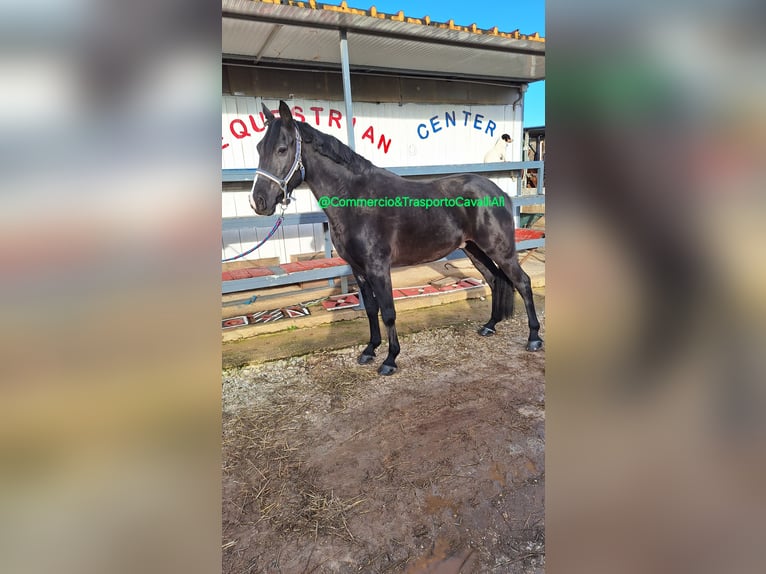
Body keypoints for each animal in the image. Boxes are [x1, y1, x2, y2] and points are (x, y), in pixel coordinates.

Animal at [252, 100, 544, 376]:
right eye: (258, 148)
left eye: (282, 149)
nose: (259, 201)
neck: (356, 198)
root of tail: (498, 191)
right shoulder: (358, 270)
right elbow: (371, 309)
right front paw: (370, 350)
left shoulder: (378, 268)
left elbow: (389, 312)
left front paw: (390, 360)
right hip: (474, 249)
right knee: (495, 280)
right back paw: (490, 326)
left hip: (501, 250)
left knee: (523, 282)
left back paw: (533, 337)